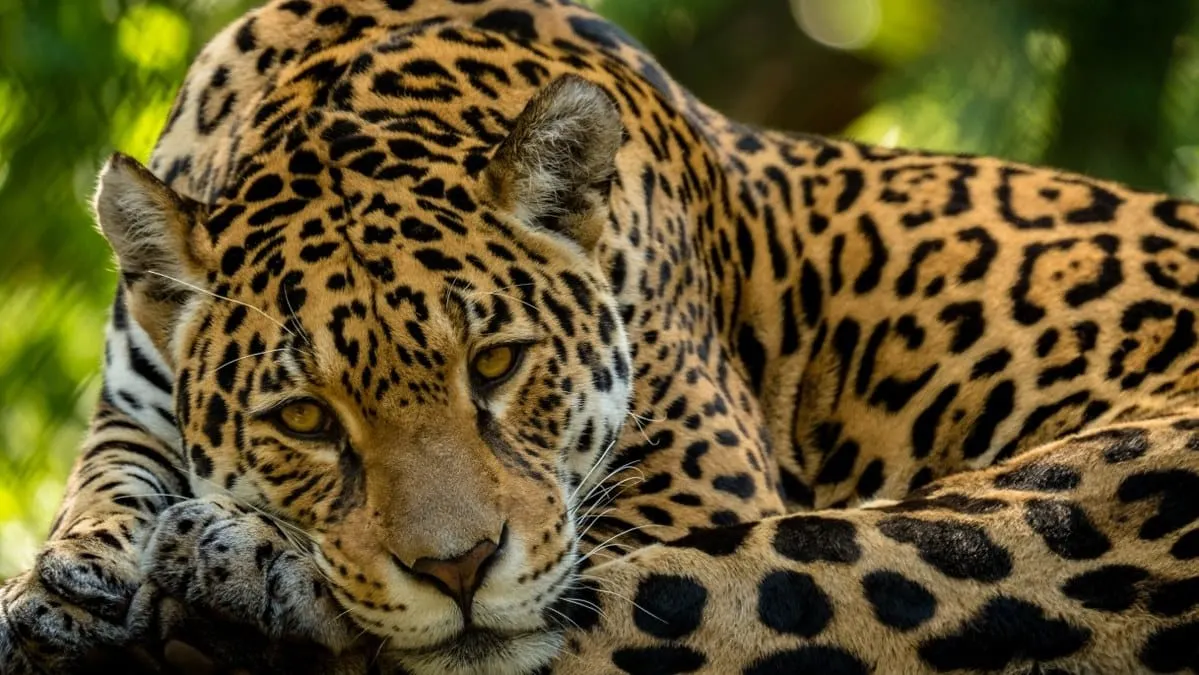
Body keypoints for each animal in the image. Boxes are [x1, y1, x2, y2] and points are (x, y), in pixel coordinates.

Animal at [4, 0, 1199, 673]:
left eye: (495, 363)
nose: (457, 568)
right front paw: (60, 588)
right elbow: (108, 476)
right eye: (302, 417)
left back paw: (233, 579)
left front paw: (226, 557)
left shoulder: (697, 485)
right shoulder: (129, 398)